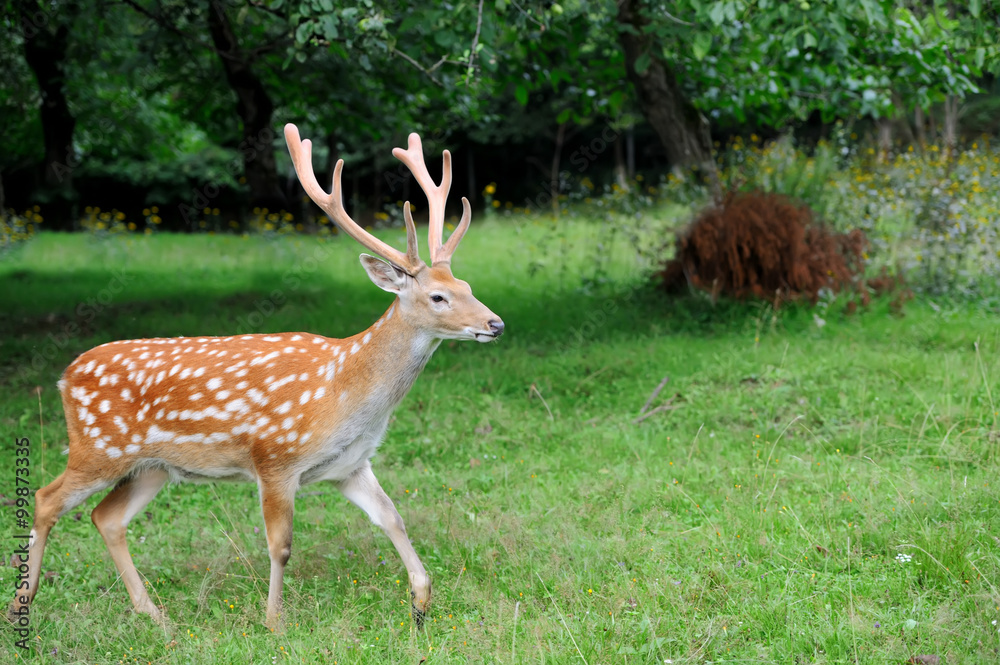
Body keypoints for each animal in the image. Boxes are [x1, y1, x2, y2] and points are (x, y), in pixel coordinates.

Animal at [10, 123, 504, 628]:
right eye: (439, 297)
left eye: (467, 286)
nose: (495, 324)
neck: (345, 393)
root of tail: (64, 377)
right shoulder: (275, 458)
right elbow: (280, 545)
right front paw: (274, 621)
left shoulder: (350, 464)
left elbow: (392, 518)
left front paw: (421, 602)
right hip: (97, 448)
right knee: (46, 498)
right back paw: (21, 604)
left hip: (152, 466)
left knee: (107, 517)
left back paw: (155, 615)